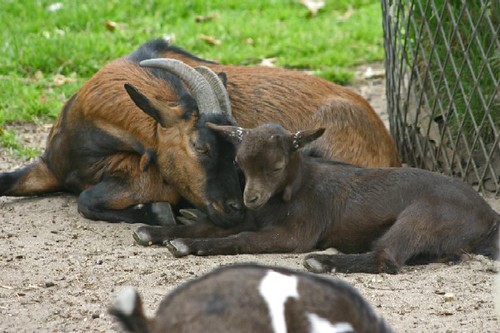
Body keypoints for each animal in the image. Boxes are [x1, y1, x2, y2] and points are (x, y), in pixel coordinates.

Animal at [0, 38, 400, 226]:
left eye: (236, 156)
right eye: (201, 147)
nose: (235, 208)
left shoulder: (152, 180)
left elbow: (87, 199)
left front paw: (159, 214)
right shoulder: (48, 167)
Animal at [135, 123, 498, 274]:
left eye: (277, 166)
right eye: (239, 164)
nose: (251, 198)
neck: (292, 192)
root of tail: (489, 215)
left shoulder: (296, 234)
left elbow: (242, 239)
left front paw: (187, 246)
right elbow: (210, 226)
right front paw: (156, 233)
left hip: (425, 215)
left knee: (389, 259)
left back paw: (324, 262)